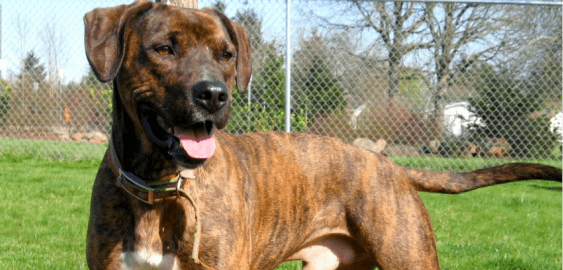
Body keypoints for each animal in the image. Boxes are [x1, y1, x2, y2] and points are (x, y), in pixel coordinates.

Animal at [85, 1, 563, 268]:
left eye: (226, 55)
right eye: (164, 48)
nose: (215, 95)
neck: (159, 186)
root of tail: (390, 165)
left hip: (410, 257)